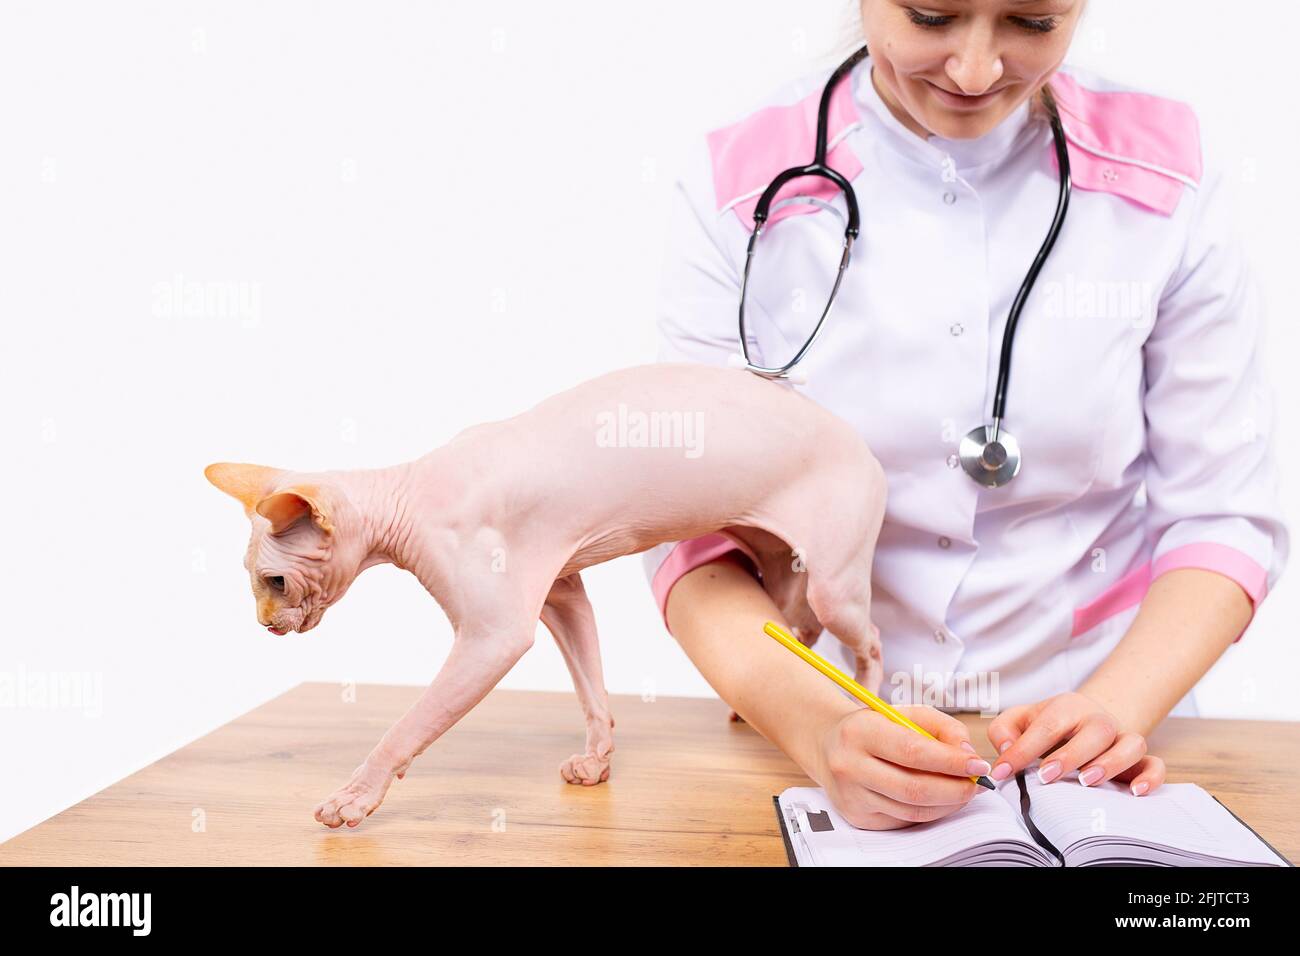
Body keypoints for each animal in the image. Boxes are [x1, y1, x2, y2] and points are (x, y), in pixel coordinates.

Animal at [205, 361, 894, 827]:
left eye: (274, 581)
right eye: (252, 582)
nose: (264, 624)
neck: (407, 492)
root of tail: (866, 447)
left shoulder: (497, 634)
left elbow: (407, 725)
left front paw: (356, 795)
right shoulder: (562, 594)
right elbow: (591, 689)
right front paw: (598, 761)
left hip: (835, 583)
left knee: (869, 639)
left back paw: (869, 700)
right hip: (777, 559)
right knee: (796, 625)